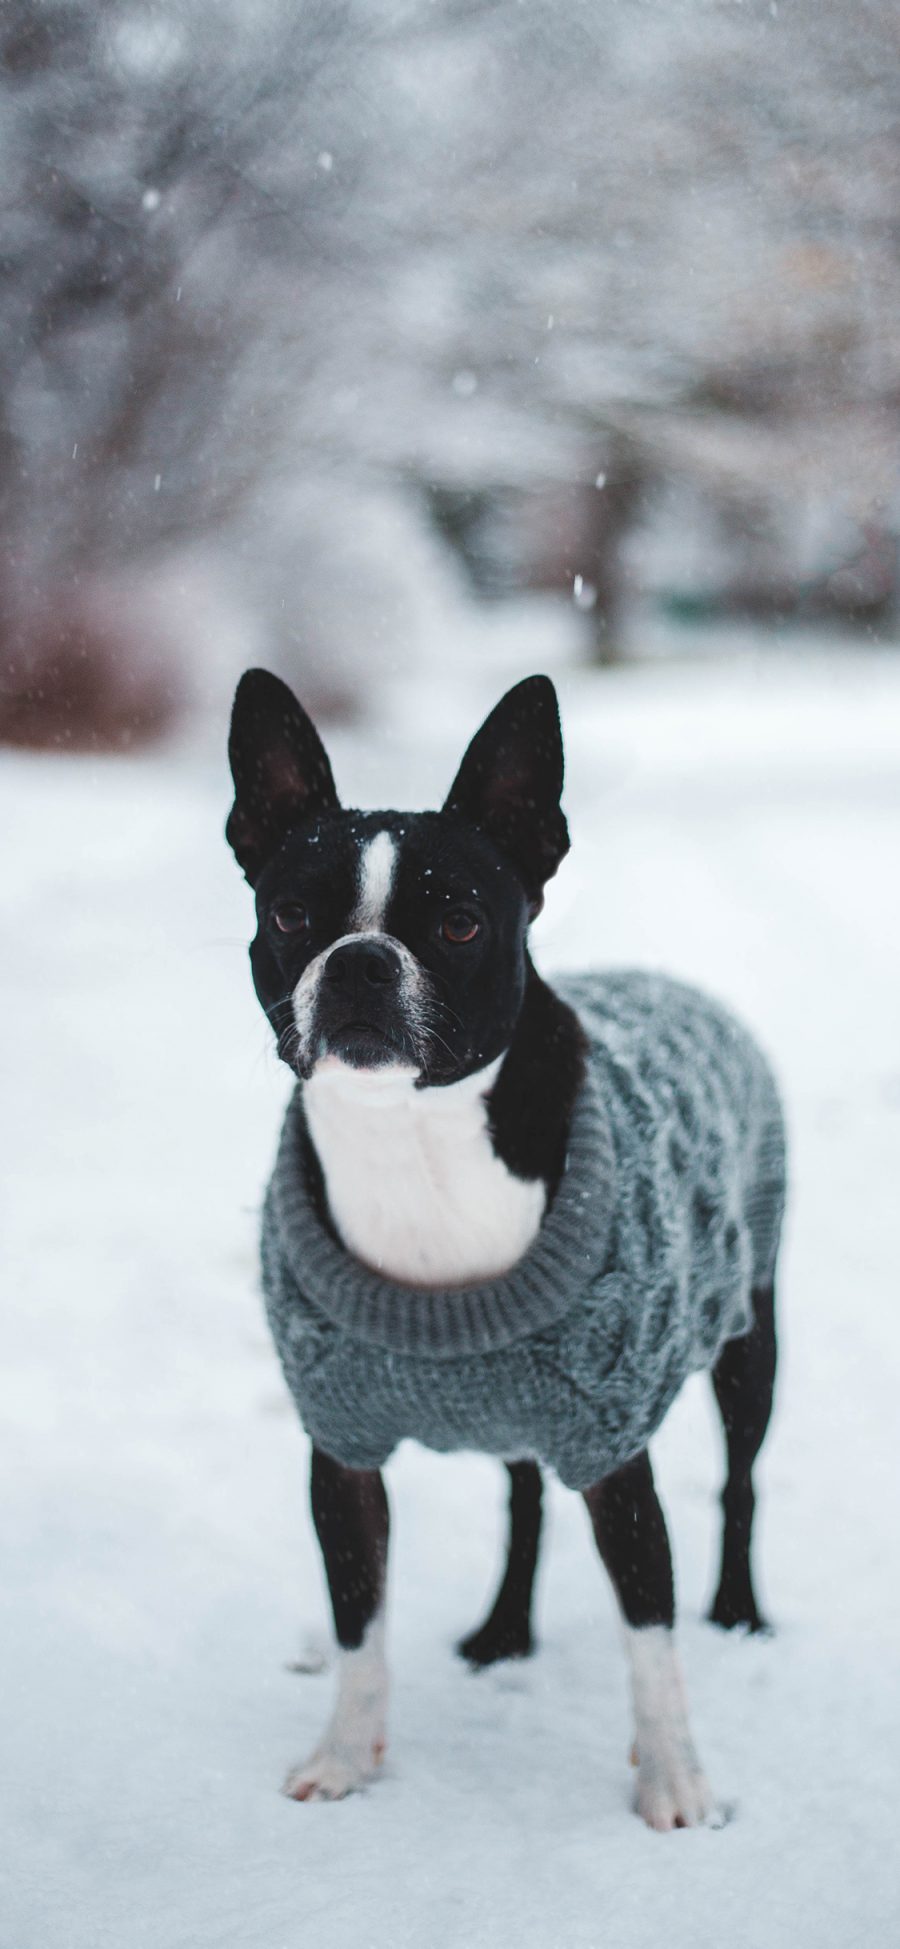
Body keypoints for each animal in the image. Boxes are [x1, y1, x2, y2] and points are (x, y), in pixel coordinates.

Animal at [228, 670, 783, 1824]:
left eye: (459, 921)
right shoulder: (341, 1449)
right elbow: (358, 1622)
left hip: (750, 1332)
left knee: (740, 1480)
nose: (359, 961)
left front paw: (675, 1783)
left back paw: (740, 1607)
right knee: (524, 1500)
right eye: (291, 914)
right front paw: (345, 1757)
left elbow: (650, 1637)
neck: (414, 1136)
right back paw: (503, 1629)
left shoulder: (615, 1450)